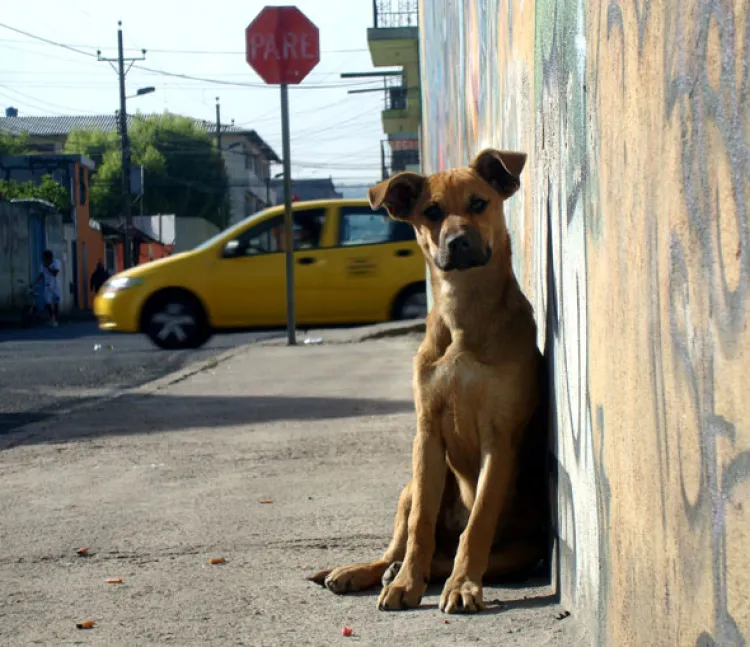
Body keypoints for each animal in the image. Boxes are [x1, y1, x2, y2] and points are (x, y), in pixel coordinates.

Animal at [308, 149, 548, 616]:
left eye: (479, 203)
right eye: (431, 212)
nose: (457, 242)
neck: (463, 315)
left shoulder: (500, 438)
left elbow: (478, 524)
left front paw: (464, 586)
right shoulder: (427, 433)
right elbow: (421, 523)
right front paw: (406, 582)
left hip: (522, 549)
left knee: (458, 549)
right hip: (406, 485)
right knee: (401, 543)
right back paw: (367, 571)